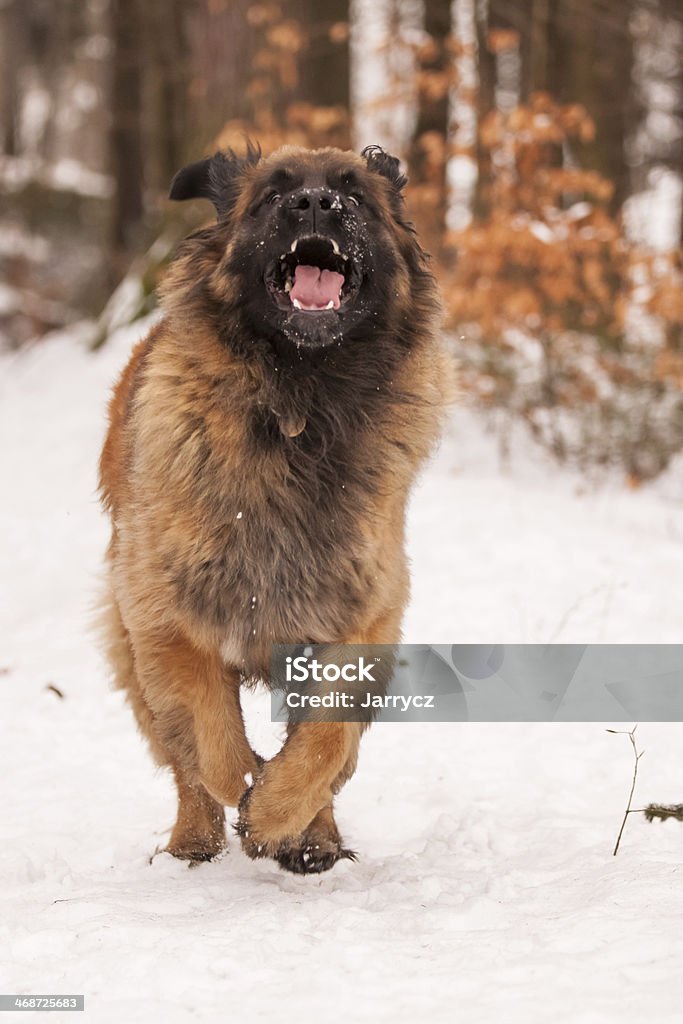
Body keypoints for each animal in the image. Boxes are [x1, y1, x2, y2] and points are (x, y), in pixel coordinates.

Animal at [97, 142, 448, 872]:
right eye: (270, 195)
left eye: (355, 193)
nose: (315, 204)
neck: (299, 406)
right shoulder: (167, 619)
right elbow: (212, 739)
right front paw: (248, 793)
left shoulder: (362, 615)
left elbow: (326, 740)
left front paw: (280, 814)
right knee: (183, 763)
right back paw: (195, 840)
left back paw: (315, 837)